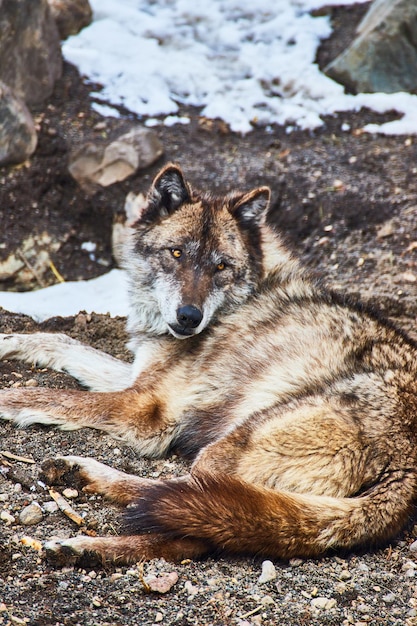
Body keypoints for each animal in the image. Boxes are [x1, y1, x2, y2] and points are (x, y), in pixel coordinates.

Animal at [0, 163, 416, 564]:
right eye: (177, 253)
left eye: (221, 267)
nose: (189, 317)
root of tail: (407, 474)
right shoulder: (139, 377)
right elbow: (62, 342)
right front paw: (10, 342)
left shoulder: (145, 409)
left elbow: (48, 396)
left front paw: (9, 397)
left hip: (226, 446)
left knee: (190, 518)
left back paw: (84, 531)